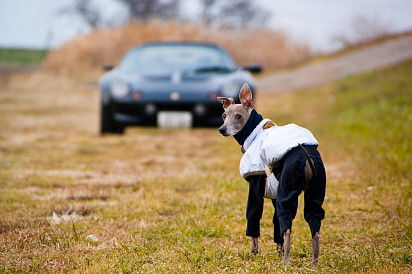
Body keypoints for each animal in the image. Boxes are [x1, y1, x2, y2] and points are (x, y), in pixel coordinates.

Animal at [217, 83, 326, 266]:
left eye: (238, 116)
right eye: (224, 115)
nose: (222, 129)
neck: (255, 132)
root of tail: (306, 156)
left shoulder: (256, 187)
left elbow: (253, 218)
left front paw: (253, 252)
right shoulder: (275, 191)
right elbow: (276, 226)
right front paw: (278, 251)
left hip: (287, 193)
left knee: (287, 227)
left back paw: (286, 262)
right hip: (315, 191)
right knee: (314, 225)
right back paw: (314, 262)